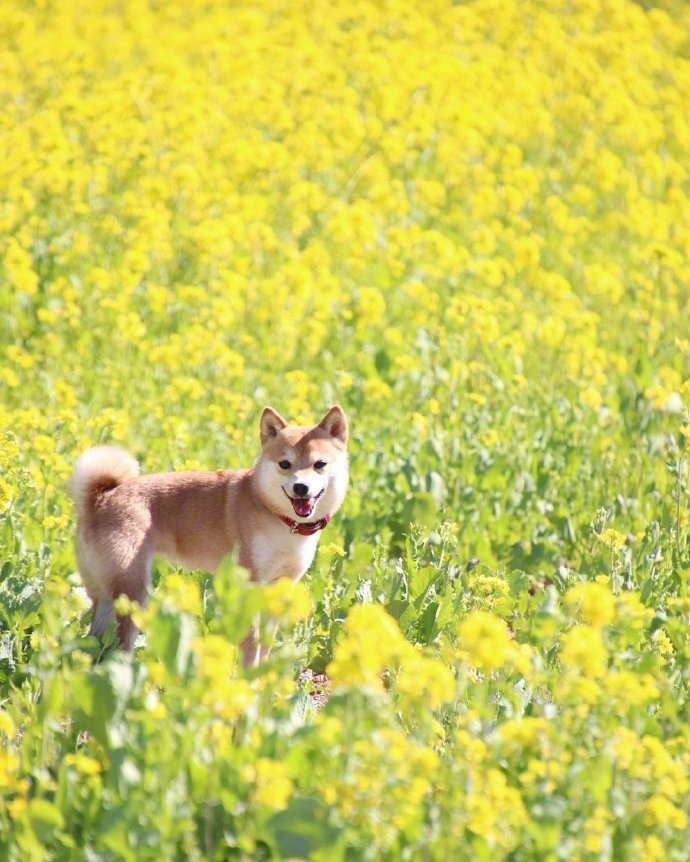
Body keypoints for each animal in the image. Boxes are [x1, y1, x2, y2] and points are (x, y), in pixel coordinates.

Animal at [69, 408, 346, 664]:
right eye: (285, 464)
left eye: (319, 465)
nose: (301, 487)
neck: (280, 520)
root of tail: (100, 498)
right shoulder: (249, 584)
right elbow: (251, 641)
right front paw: (248, 679)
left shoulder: (279, 588)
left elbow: (266, 644)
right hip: (133, 593)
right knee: (121, 642)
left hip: (108, 594)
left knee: (95, 639)